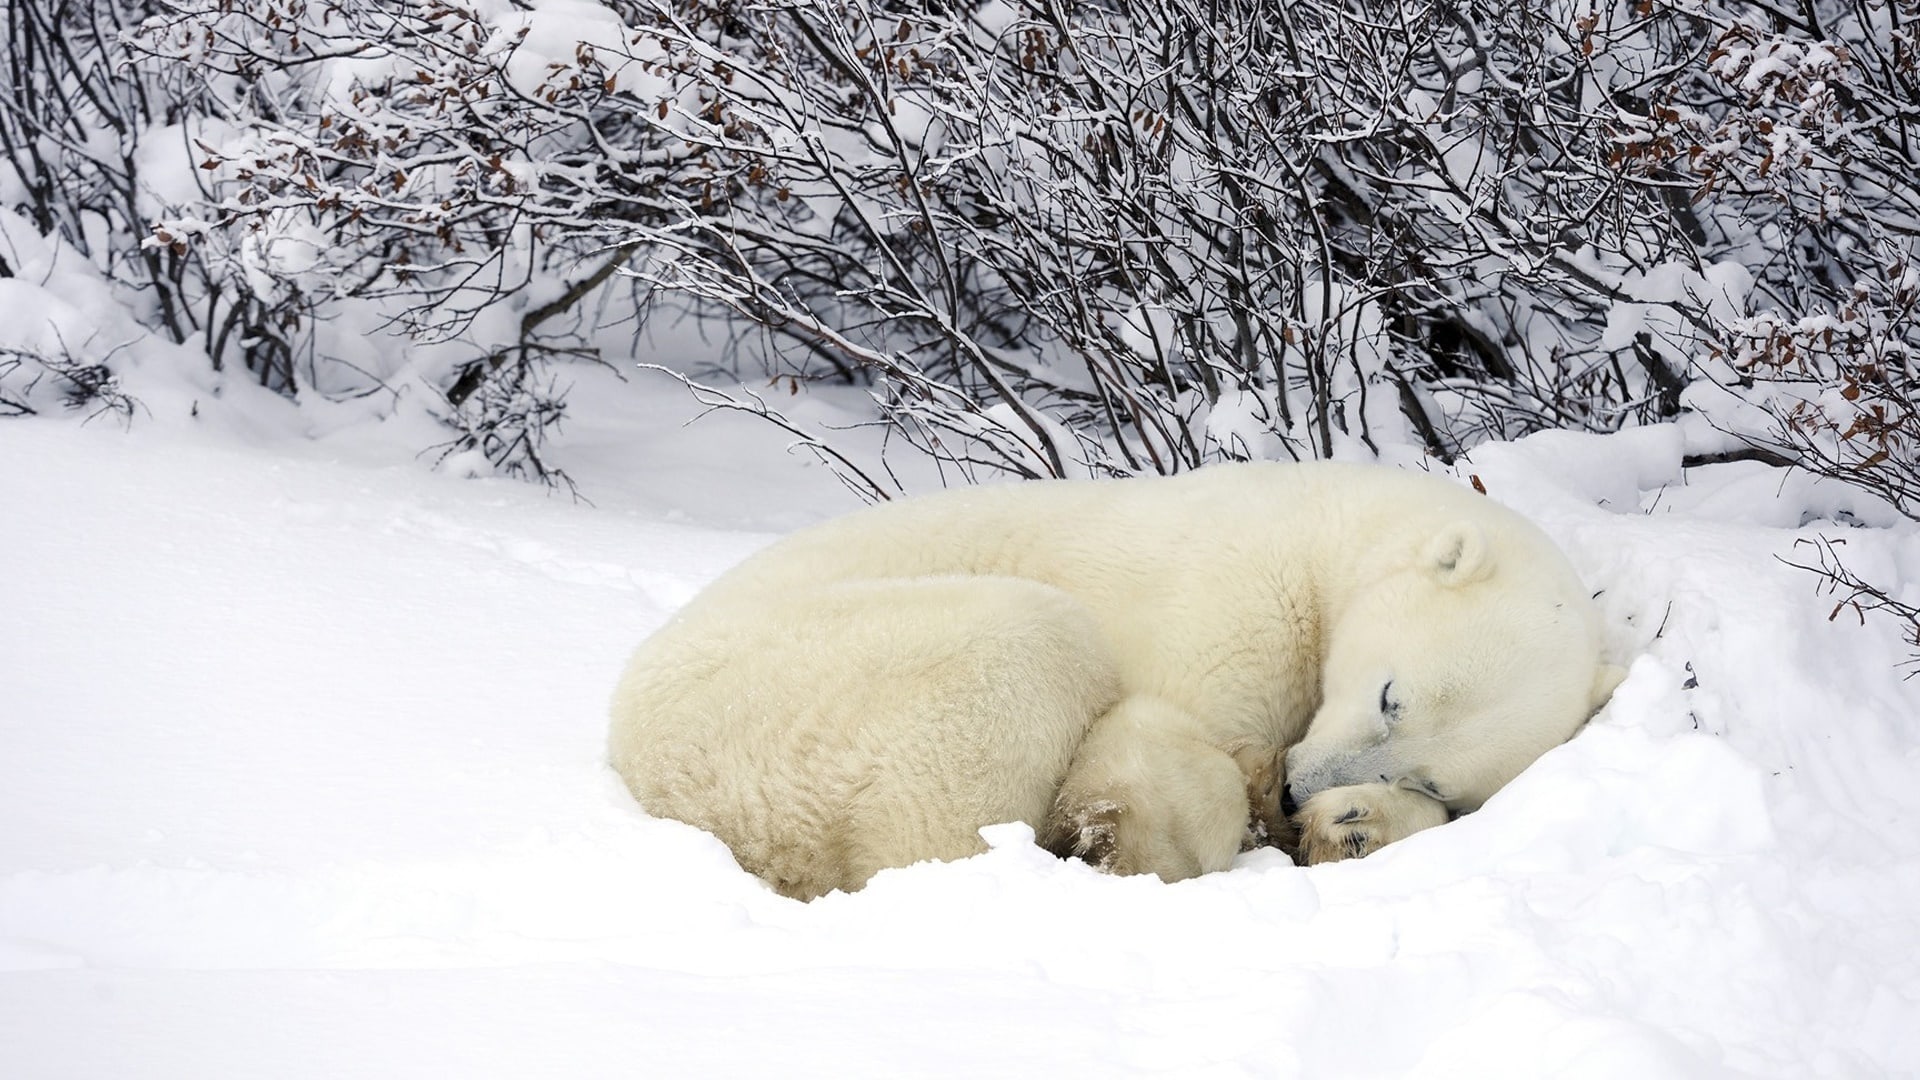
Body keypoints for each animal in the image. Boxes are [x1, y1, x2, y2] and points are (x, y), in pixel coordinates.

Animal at [610, 457, 1620, 895]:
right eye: (1389, 695)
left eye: (1432, 776)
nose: (1302, 791)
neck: (1327, 533)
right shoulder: (1234, 596)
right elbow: (1164, 737)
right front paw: (1144, 836)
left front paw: (1354, 827)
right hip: (789, 693)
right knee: (1021, 654)